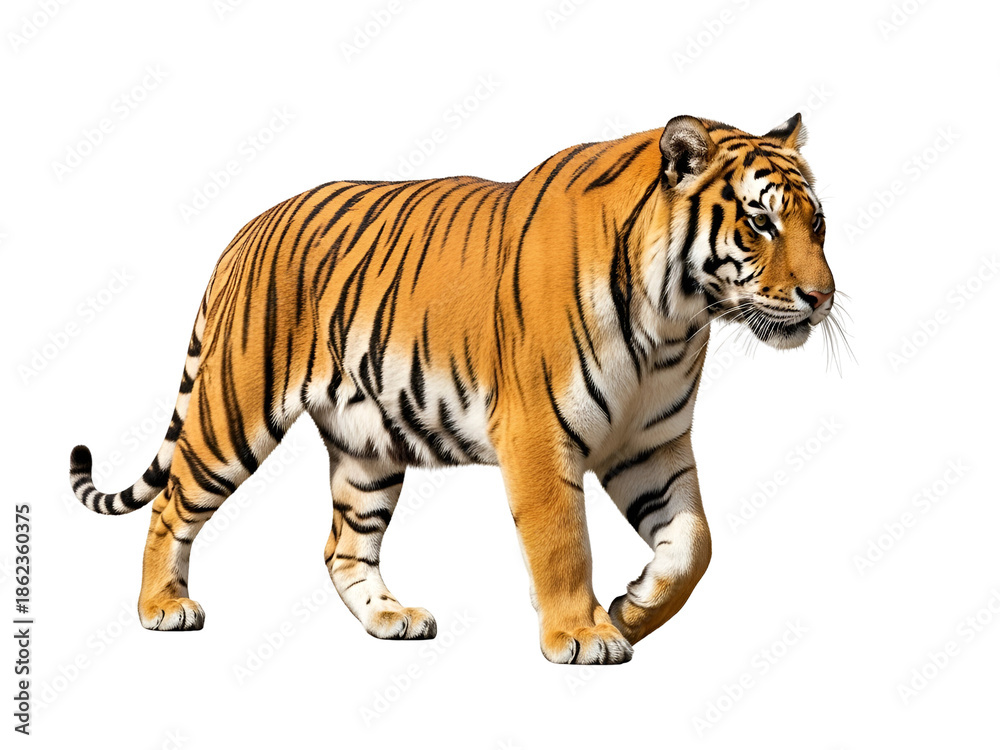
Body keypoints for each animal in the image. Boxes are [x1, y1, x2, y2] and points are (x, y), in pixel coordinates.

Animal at [69, 113, 836, 665]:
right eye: (761, 222)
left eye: (817, 223)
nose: (822, 297)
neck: (673, 318)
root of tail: (246, 232)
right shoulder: (538, 433)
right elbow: (564, 540)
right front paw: (581, 634)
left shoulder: (652, 444)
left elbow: (694, 543)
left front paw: (635, 609)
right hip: (235, 413)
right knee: (170, 504)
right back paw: (162, 608)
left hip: (367, 451)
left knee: (342, 546)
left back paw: (391, 618)